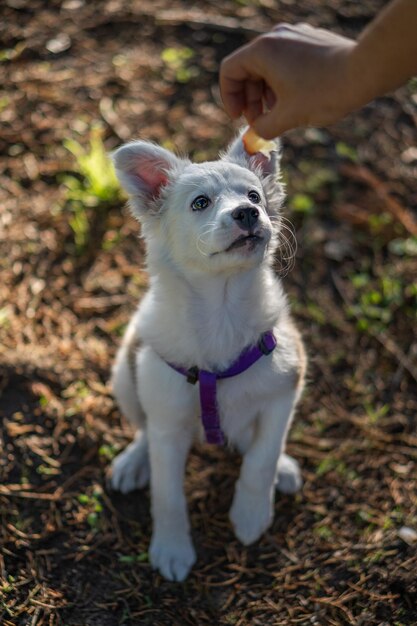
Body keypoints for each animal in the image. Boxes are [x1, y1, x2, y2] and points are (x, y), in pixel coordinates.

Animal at [109, 130, 308, 580]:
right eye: (200, 202)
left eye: (254, 195)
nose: (248, 213)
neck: (222, 312)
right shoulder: (167, 424)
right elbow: (167, 495)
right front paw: (171, 548)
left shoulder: (285, 389)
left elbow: (262, 458)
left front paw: (251, 515)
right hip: (124, 376)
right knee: (142, 428)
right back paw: (133, 462)